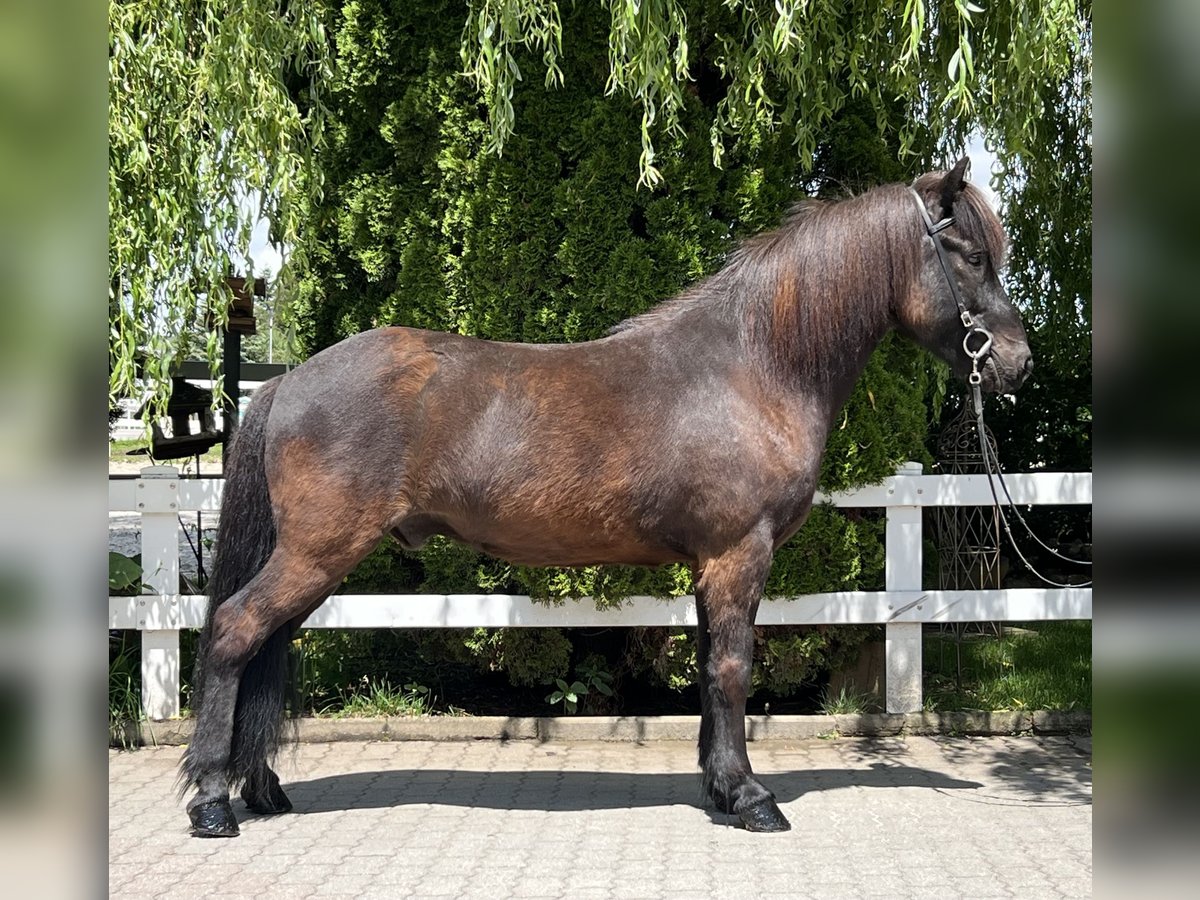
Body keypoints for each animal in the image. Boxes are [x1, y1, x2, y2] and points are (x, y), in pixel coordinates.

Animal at [177, 157, 1032, 840]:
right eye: (968, 254)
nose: (1018, 363)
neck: (753, 365)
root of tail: (287, 380)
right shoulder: (738, 554)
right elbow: (732, 670)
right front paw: (751, 797)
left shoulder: (711, 565)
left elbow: (709, 669)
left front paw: (718, 785)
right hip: (318, 553)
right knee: (234, 633)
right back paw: (213, 804)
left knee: (266, 645)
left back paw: (263, 790)